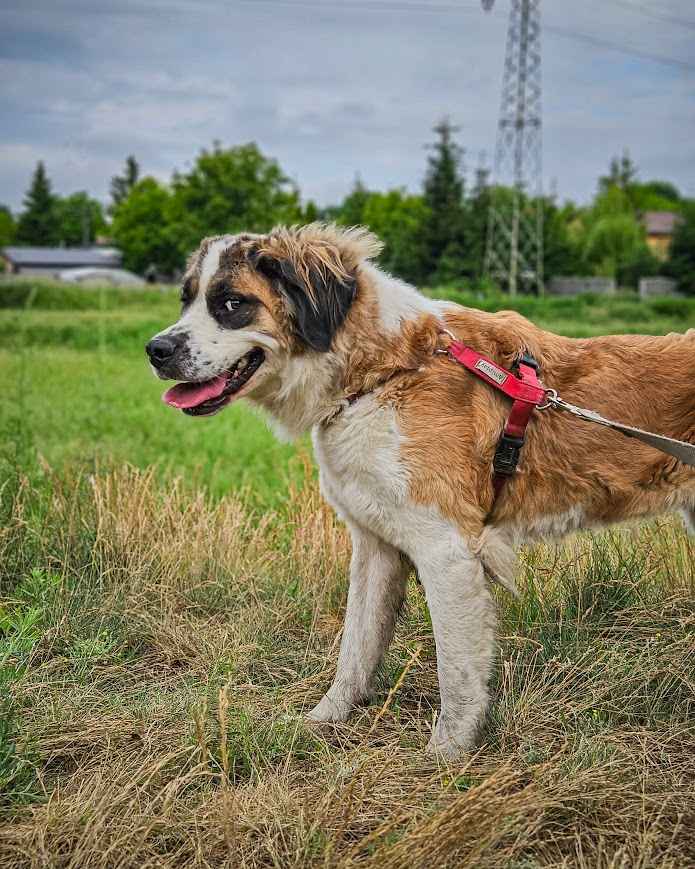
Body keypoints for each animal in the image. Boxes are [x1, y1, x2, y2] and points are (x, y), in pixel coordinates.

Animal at [147, 224, 695, 760]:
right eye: (186, 299)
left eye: (232, 303)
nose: (156, 350)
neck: (382, 372)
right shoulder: (375, 547)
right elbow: (356, 646)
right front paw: (324, 721)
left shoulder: (446, 550)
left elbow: (455, 667)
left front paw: (447, 756)